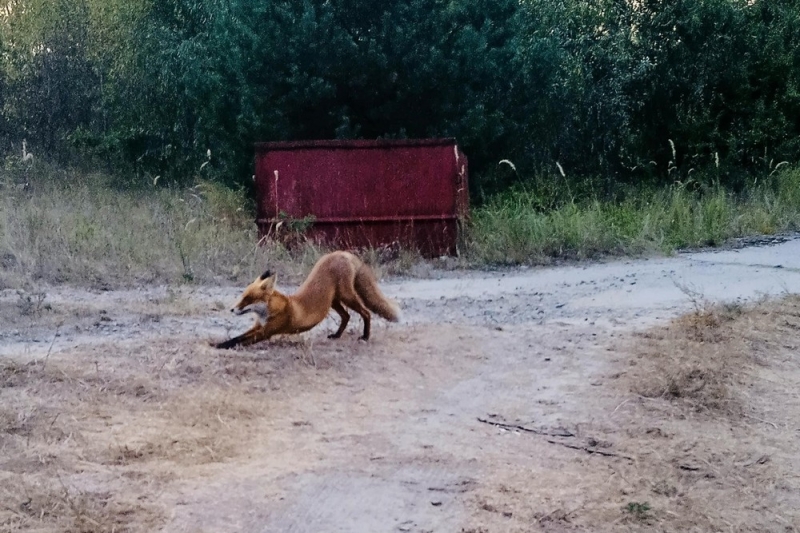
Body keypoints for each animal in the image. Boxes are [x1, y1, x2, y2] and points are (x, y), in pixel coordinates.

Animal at [214, 250, 400, 350]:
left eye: (248, 298)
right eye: (242, 296)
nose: (232, 309)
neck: (269, 312)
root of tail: (340, 253)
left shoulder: (265, 333)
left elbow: (239, 342)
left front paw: (218, 346)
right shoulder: (257, 328)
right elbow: (236, 338)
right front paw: (219, 343)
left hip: (347, 297)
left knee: (366, 313)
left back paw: (365, 337)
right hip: (333, 301)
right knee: (346, 316)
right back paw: (336, 335)